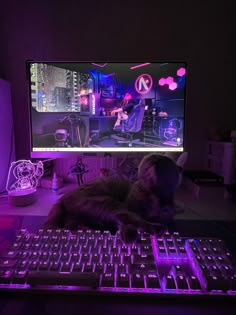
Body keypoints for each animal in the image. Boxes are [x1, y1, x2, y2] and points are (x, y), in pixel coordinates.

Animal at [44, 154, 180, 243]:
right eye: (150, 159)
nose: (155, 159)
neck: (154, 195)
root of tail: (62, 199)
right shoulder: (129, 206)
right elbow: (131, 218)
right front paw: (129, 234)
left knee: (71, 225)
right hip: (105, 201)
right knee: (125, 217)